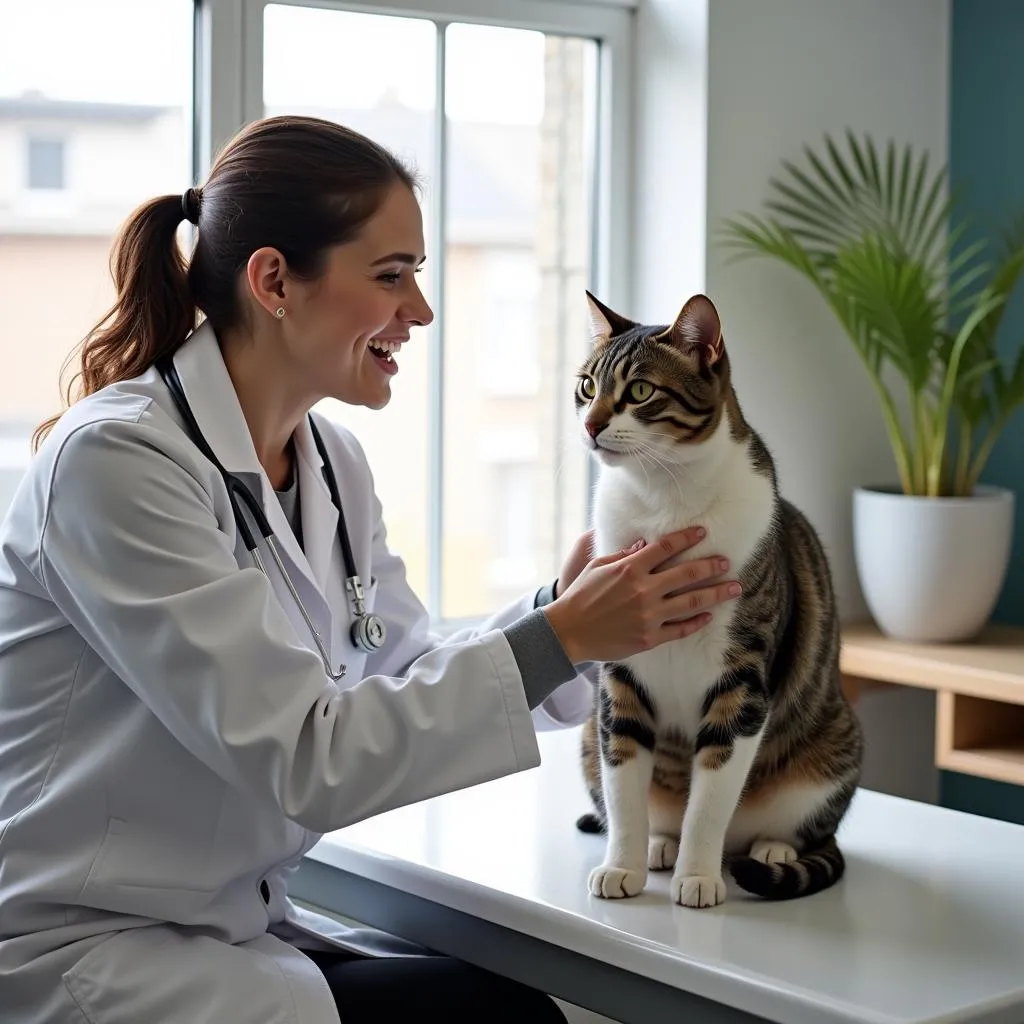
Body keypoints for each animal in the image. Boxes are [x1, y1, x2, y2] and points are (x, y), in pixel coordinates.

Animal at [577, 288, 864, 905]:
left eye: (640, 391)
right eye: (587, 385)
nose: (588, 425)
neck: (664, 499)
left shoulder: (742, 680)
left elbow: (710, 802)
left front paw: (699, 878)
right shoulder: (620, 678)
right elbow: (623, 790)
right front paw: (622, 867)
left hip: (833, 746)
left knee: (795, 827)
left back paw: (770, 850)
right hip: (587, 733)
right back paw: (660, 844)